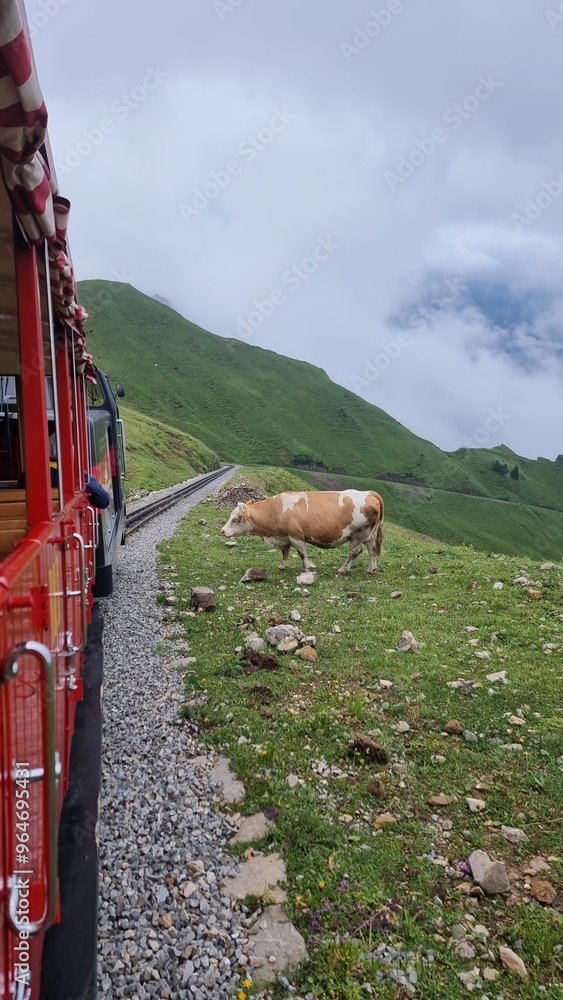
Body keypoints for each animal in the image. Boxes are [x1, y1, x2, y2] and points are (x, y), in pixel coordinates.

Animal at [220, 490, 384, 576]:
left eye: (235, 519)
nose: (222, 531)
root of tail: (369, 493)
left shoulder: (296, 536)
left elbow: (302, 553)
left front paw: (306, 568)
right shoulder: (284, 536)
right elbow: (285, 551)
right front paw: (283, 565)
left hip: (359, 534)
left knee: (354, 552)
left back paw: (343, 569)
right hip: (369, 535)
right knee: (372, 550)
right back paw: (372, 569)